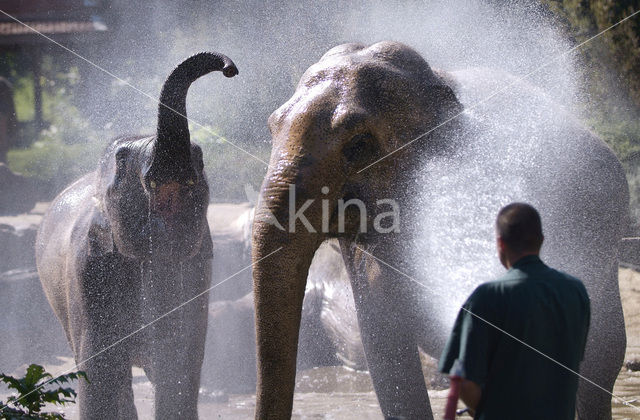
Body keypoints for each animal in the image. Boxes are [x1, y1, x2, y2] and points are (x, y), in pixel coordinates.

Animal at [33, 52, 238, 420]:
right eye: (122, 159)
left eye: (200, 157)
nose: (230, 68)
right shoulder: (88, 270)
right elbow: (98, 371)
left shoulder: (196, 269)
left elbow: (177, 364)